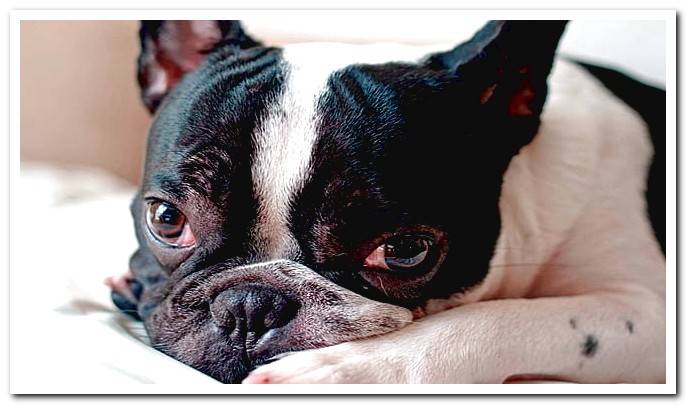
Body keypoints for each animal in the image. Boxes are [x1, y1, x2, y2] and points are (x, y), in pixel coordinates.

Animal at [107, 19, 668, 382]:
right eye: (167, 219)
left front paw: (346, 369)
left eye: (403, 251)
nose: (250, 305)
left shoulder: (647, 313)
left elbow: (502, 321)